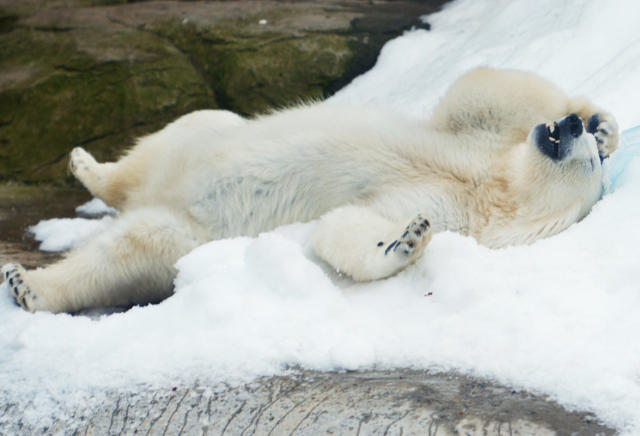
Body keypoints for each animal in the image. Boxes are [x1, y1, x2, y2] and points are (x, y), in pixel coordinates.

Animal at [1, 67, 620, 314]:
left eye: (584, 165)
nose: (569, 128)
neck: (489, 190)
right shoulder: (478, 147)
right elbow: (484, 93)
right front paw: (603, 121)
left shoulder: (456, 214)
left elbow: (346, 225)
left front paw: (402, 241)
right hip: (207, 135)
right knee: (177, 135)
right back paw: (87, 165)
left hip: (184, 233)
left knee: (131, 251)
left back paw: (31, 287)